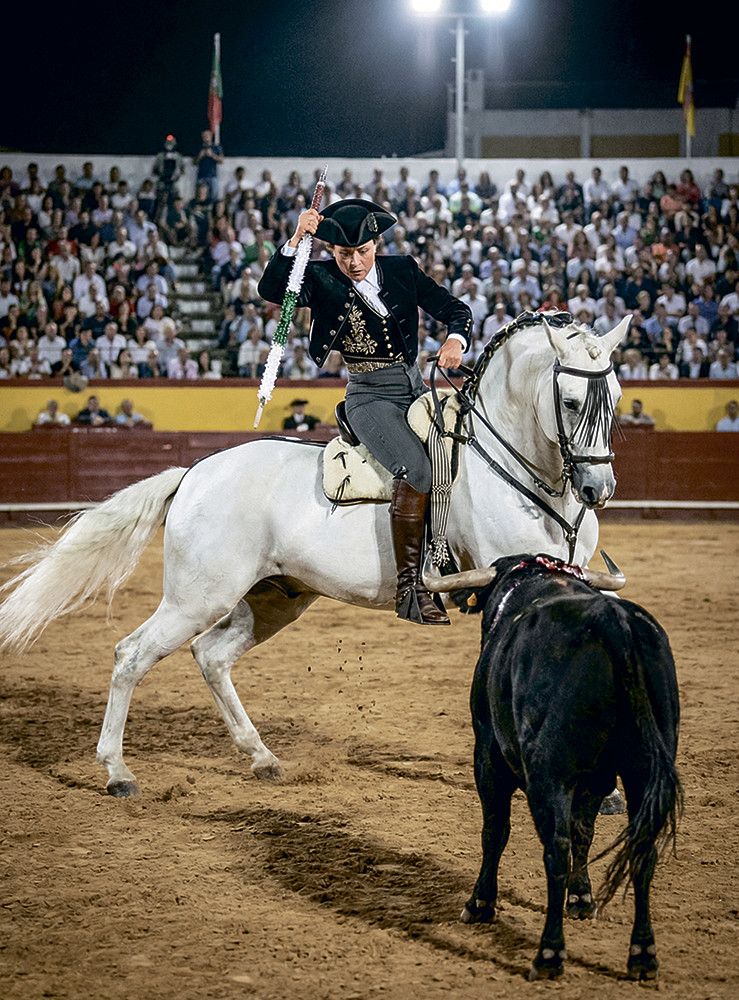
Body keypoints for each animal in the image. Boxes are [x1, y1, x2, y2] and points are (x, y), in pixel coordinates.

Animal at [0, 311, 628, 796]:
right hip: (196, 598)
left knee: (212, 656)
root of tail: (196, 472)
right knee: (132, 654)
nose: (597, 488)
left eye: (617, 398)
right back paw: (118, 772)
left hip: (274, 598)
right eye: (571, 401)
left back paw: (262, 758)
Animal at [424, 553, 682, 982]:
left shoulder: (487, 755)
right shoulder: (596, 780)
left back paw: (549, 953)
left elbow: (495, 831)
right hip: (645, 769)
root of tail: (613, 624)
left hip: (549, 773)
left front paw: (480, 904)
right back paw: (643, 954)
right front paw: (581, 897)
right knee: (642, 848)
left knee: (555, 850)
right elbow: (584, 832)